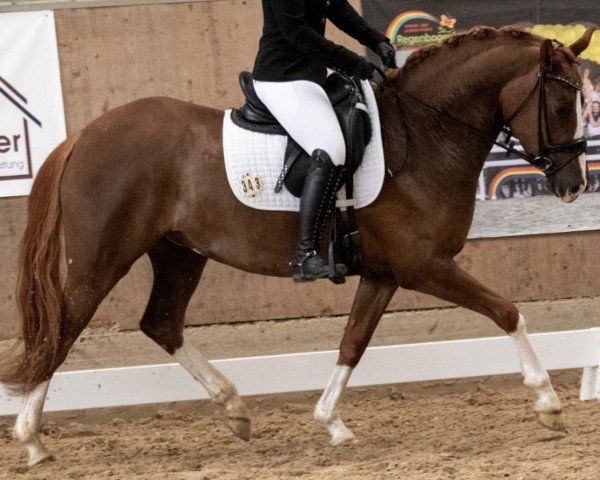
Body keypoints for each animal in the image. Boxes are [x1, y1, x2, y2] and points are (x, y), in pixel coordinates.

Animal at [1, 26, 596, 464]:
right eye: (562, 104)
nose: (574, 186)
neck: (426, 134)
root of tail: (85, 134)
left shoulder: (385, 273)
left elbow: (353, 343)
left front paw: (332, 424)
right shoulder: (424, 264)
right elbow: (507, 311)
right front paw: (548, 402)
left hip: (178, 253)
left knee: (161, 323)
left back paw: (235, 409)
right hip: (101, 257)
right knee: (63, 329)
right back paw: (32, 440)